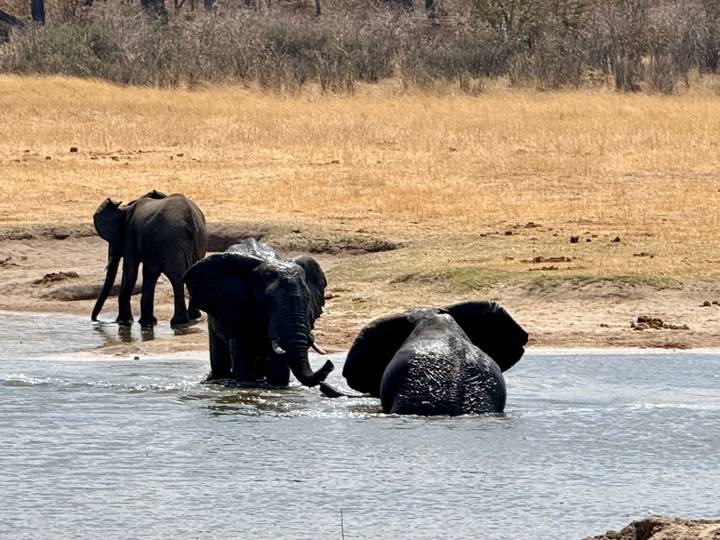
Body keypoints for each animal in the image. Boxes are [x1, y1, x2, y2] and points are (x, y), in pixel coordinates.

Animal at [91, 190, 208, 328]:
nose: (95, 320)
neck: (125, 208)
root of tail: (191, 219)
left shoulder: (130, 235)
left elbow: (130, 273)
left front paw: (123, 321)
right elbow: (150, 273)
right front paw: (147, 322)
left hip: (172, 241)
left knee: (176, 277)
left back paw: (178, 322)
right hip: (199, 238)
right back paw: (194, 316)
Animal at [183, 238, 334, 388]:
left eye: (308, 299)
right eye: (266, 301)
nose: (330, 364)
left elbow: (278, 370)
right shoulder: (238, 310)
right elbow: (243, 362)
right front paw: (246, 384)